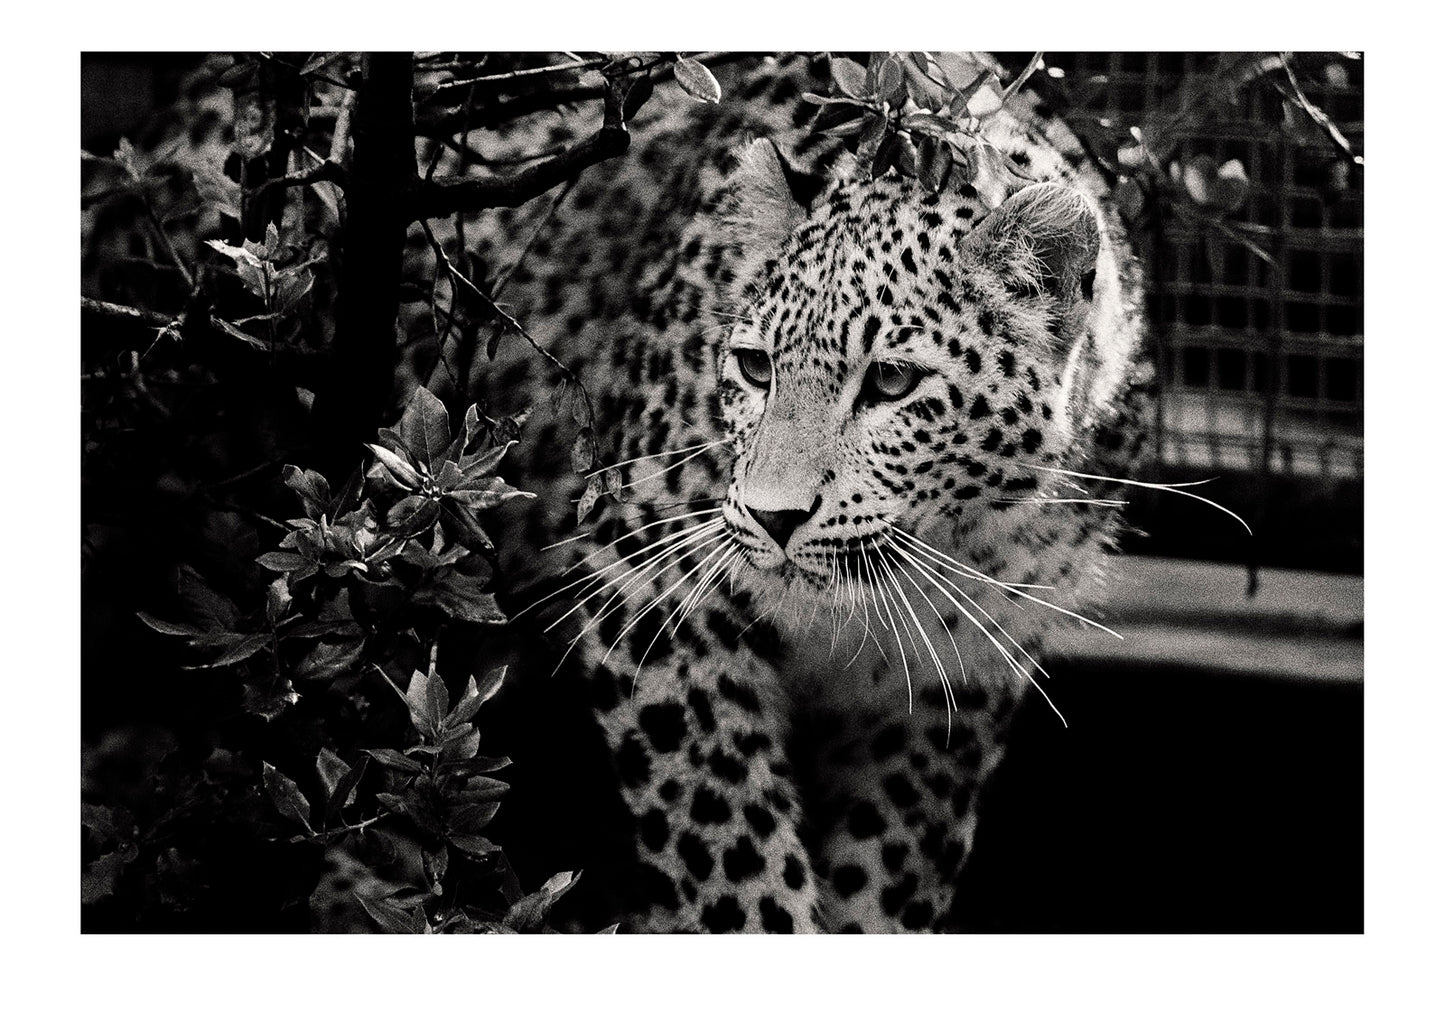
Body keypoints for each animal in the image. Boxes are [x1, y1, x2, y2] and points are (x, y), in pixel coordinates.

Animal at [430, 53, 1149, 933]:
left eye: (891, 381)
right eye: (753, 366)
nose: (774, 518)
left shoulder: (957, 680)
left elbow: (889, 868)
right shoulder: (650, 588)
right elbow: (731, 850)